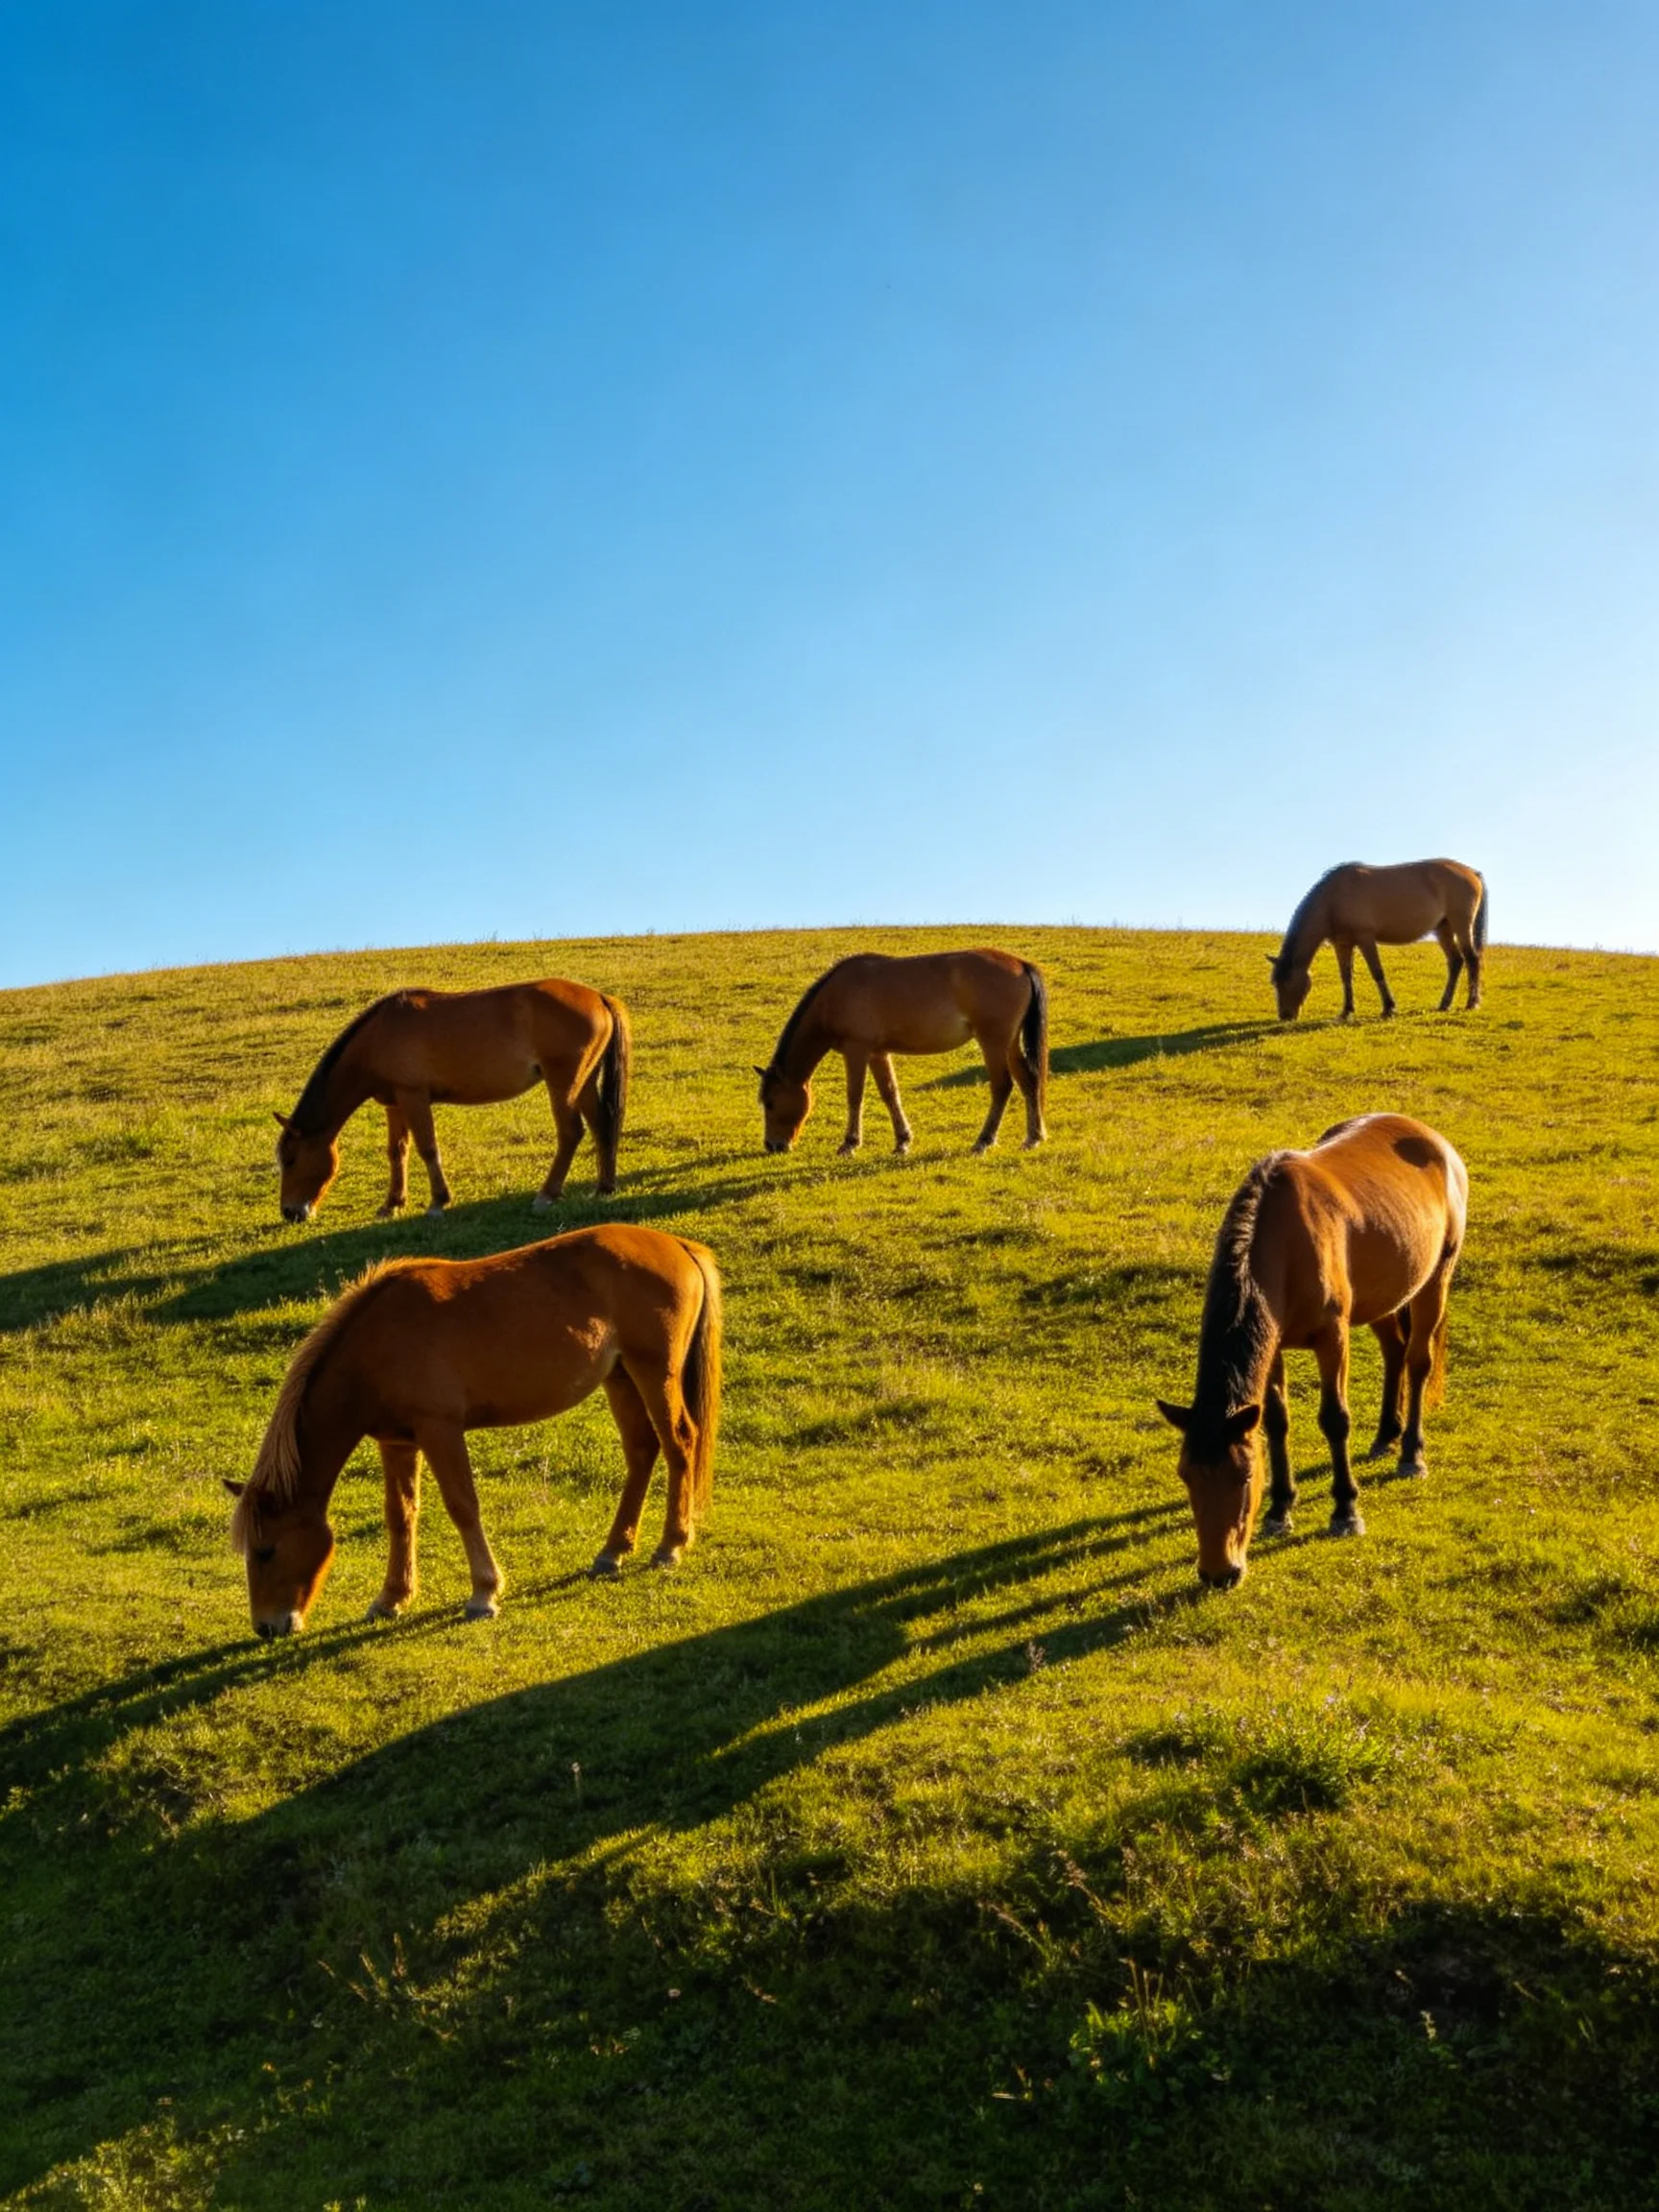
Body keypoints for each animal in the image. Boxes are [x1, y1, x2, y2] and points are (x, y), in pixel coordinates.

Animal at [225, 1225, 721, 1636]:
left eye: (265, 1550)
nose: (266, 1627)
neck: (375, 1345)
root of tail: (678, 1245)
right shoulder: (397, 1442)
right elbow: (400, 1515)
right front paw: (391, 1598)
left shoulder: (440, 1430)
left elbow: (462, 1506)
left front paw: (483, 1593)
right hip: (620, 1378)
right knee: (641, 1450)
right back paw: (613, 1551)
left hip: (654, 1373)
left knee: (679, 1443)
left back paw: (671, 1545)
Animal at [274, 978, 630, 1222]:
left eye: (290, 1160)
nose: (291, 1212)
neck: (377, 1038)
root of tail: (599, 997)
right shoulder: (395, 1103)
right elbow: (397, 1152)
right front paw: (392, 1203)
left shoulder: (414, 1097)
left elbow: (427, 1148)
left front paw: (438, 1201)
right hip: (584, 1083)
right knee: (601, 1127)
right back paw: (604, 1187)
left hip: (563, 1083)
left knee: (571, 1133)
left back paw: (547, 1195)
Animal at [756, 950, 1048, 1157]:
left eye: (770, 1103)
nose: (773, 1145)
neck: (836, 996)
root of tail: (1020, 964)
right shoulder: (877, 1054)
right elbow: (889, 1093)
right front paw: (902, 1141)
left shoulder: (856, 1051)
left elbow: (854, 1096)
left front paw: (850, 1143)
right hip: (1009, 1045)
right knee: (1028, 1081)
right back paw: (1033, 1137)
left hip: (993, 1044)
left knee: (1002, 1086)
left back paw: (984, 1141)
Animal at [1156, 1113, 1467, 1589]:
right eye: (1185, 1474)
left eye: (1245, 1476)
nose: (1218, 1574)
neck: (1283, 1244)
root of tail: (1433, 1139)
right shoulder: (1273, 1346)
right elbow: (1276, 1422)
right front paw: (1280, 1508)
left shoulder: (1332, 1337)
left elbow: (1334, 1420)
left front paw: (1345, 1510)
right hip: (1382, 1296)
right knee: (1394, 1352)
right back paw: (1385, 1435)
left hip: (1435, 1281)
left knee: (1417, 1363)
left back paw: (1411, 1453)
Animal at [1269, 860, 1487, 1020]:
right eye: (1275, 983)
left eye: (1287, 981)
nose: (1285, 1016)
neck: (1333, 899)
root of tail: (1472, 872)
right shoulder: (1342, 944)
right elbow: (1346, 977)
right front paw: (1346, 1010)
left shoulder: (1366, 939)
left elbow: (1377, 972)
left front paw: (1389, 1008)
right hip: (1443, 928)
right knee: (1456, 961)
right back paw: (1444, 1004)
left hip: (1461, 925)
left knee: (1472, 959)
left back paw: (1471, 1003)